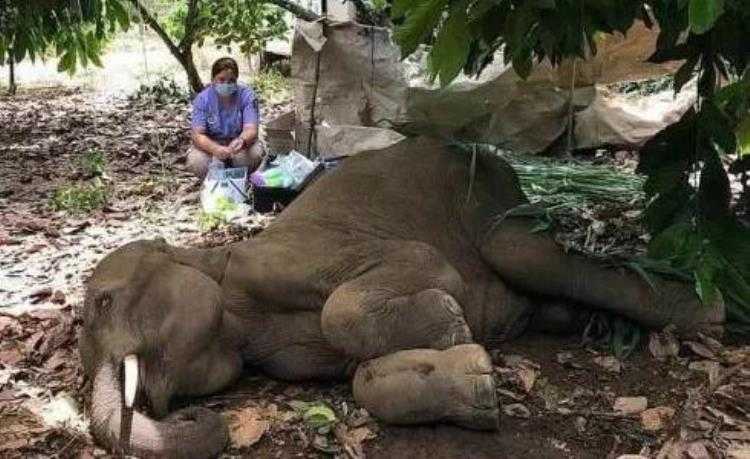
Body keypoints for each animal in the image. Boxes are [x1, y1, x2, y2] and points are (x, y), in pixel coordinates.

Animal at [79, 136, 723, 458]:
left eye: (103, 301)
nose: (208, 419)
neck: (218, 263)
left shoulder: (294, 255)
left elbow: (404, 276)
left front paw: (453, 323)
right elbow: (360, 378)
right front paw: (476, 380)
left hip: (493, 204)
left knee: (528, 253)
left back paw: (709, 313)